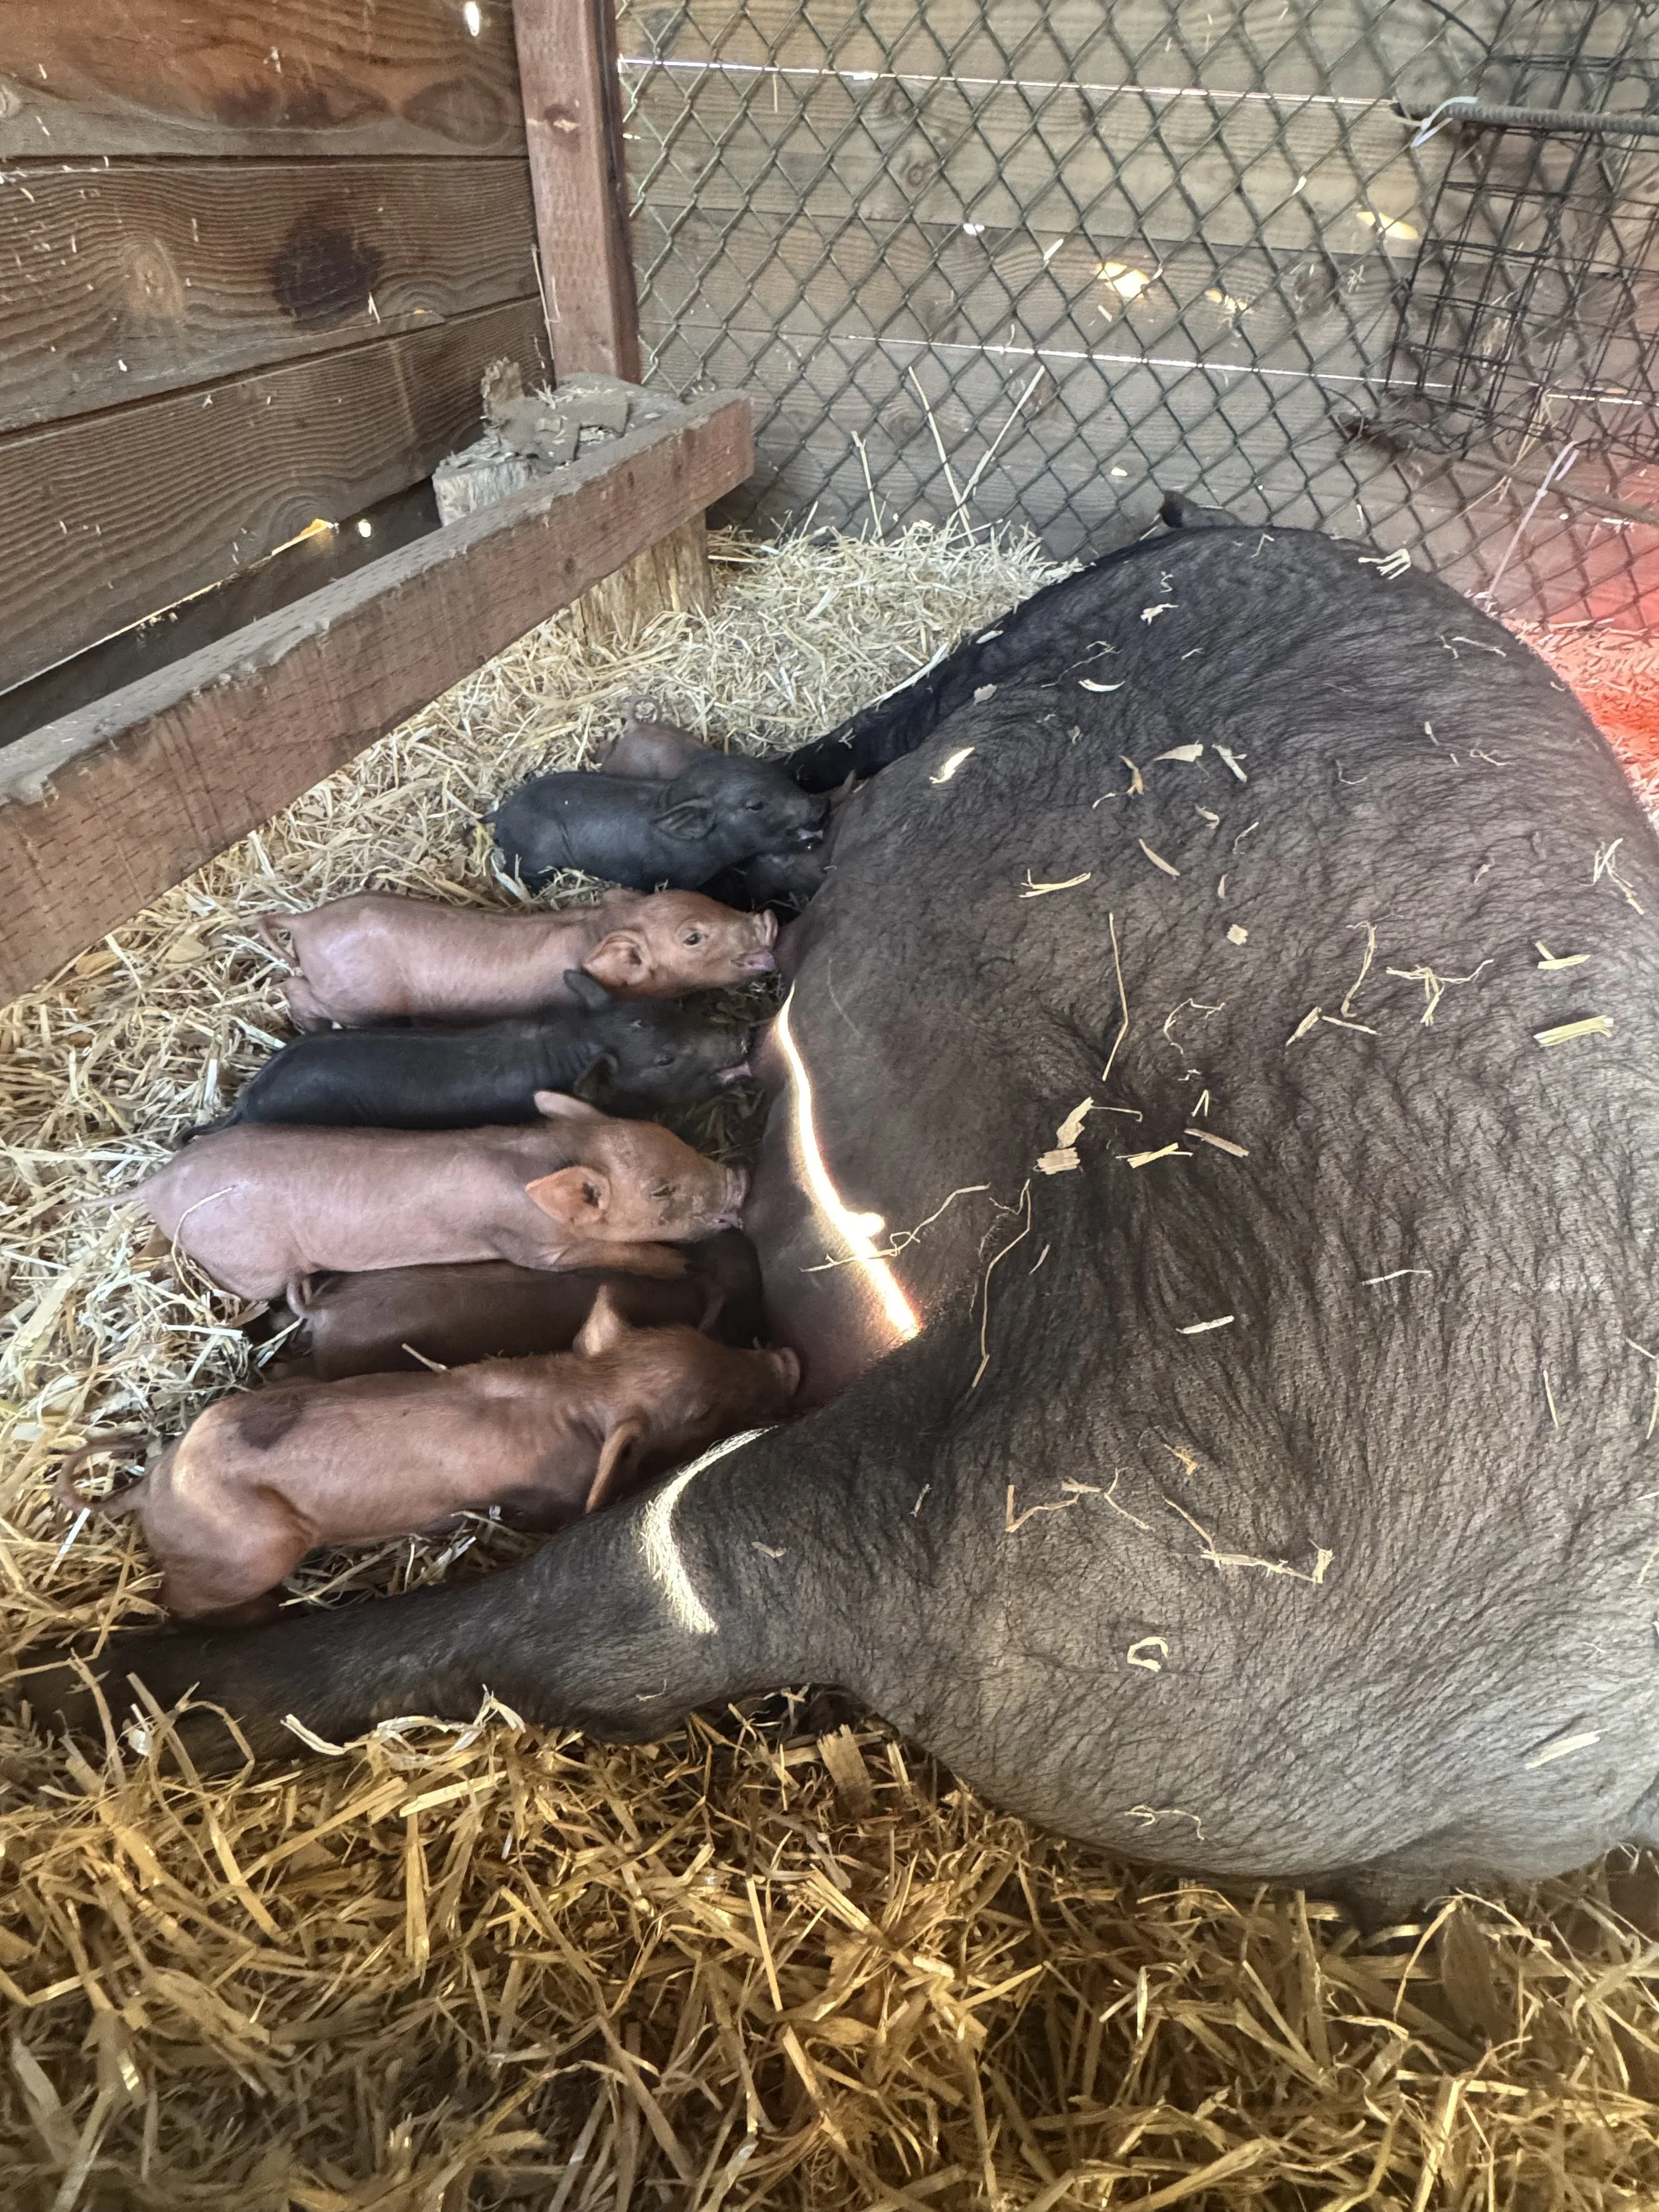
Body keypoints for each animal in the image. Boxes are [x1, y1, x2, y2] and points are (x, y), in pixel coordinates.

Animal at [59, 1286, 800, 1620]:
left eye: (704, 1341)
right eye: (698, 1410)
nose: (789, 1360)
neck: (583, 1395)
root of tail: (150, 1488)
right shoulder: (551, 1495)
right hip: (253, 1551)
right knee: (178, 1599)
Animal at [128, 1093, 746, 1300]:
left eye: (677, 1139)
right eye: (659, 1189)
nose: (739, 1178)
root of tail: (155, 1180)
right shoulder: (532, 1247)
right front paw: (677, 1265)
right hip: (250, 1265)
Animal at [257, 888, 777, 1032]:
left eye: (711, 900)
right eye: (693, 937)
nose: (768, 918)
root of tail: (307, 922)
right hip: (358, 1002)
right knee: (295, 989)